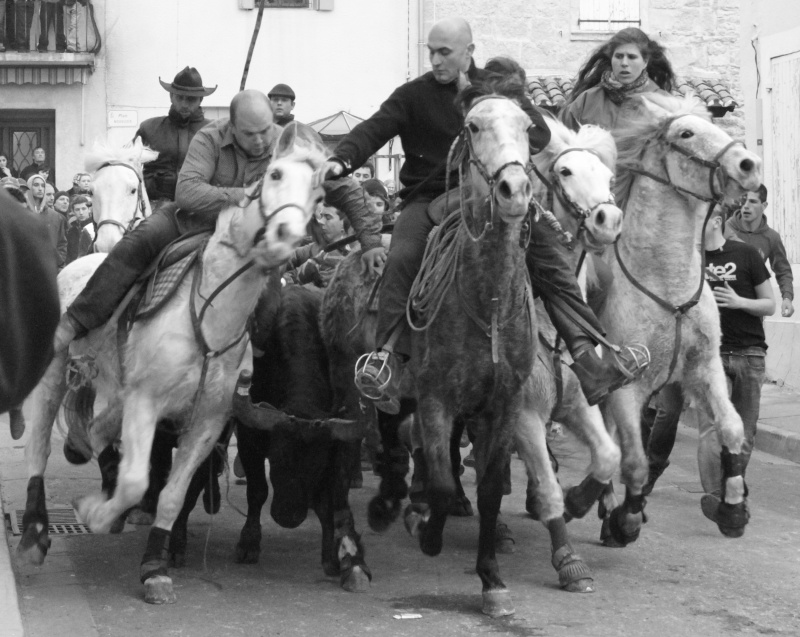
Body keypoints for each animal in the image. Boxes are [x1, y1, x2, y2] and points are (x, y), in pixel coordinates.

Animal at [18, 121, 324, 604]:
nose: (286, 236)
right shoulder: (146, 402)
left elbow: (172, 494)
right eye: (274, 175)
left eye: (318, 187)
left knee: (98, 429)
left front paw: (155, 567)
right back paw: (34, 534)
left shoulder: (208, 420)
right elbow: (136, 481)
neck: (209, 311)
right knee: (39, 448)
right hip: (54, 376)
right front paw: (96, 514)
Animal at [588, 94, 764, 540]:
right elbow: (634, 461)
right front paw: (627, 520)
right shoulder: (625, 385)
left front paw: (731, 509)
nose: (749, 164)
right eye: (686, 133)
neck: (666, 284)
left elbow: (732, 428)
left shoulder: (705, 368)